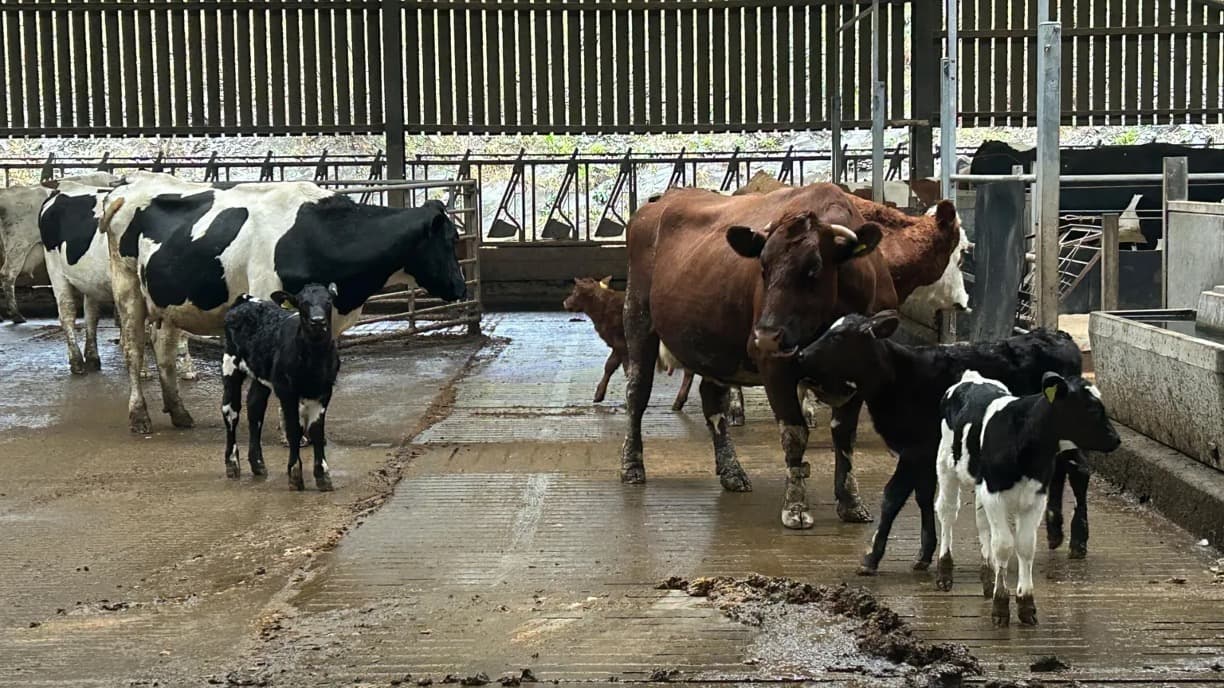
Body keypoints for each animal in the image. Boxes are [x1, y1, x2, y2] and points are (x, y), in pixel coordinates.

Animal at [100, 172, 467, 434]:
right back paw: (139, 416)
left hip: (167, 302)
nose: (462, 288)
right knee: (133, 349)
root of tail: (126, 187)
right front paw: (288, 427)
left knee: (162, 349)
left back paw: (179, 412)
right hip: (127, 287)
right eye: (450, 240)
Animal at [621, 183, 895, 530]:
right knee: (637, 392)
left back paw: (732, 471)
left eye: (814, 269)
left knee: (712, 400)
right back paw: (632, 465)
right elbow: (794, 434)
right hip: (638, 316)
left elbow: (845, 437)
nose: (765, 336)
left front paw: (851, 503)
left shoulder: (860, 373)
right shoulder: (775, 365)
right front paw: (795, 507)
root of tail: (661, 201)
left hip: (715, 345)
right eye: (762, 268)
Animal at [935, 370, 1120, 626]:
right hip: (946, 466)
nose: (1116, 439)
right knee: (947, 512)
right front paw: (1001, 606)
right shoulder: (994, 494)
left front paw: (1025, 604)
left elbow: (1024, 545)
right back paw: (945, 572)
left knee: (981, 522)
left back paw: (987, 577)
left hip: (980, 485)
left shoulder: (1035, 497)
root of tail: (972, 377)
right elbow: (1004, 545)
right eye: (1091, 409)